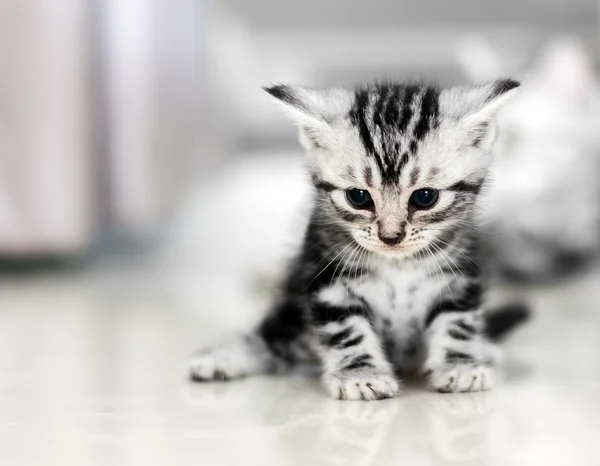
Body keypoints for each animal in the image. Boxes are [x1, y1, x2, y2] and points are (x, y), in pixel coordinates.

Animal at [189, 79, 524, 400]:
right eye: (358, 197)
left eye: (425, 197)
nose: (391, 236)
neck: (399, 265)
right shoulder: (326, 277)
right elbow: (347, 331)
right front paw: (360, 374)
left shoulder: (459, 275)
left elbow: (458, 323)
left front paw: (460, 364)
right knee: (271, 339)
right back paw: (223, 358)